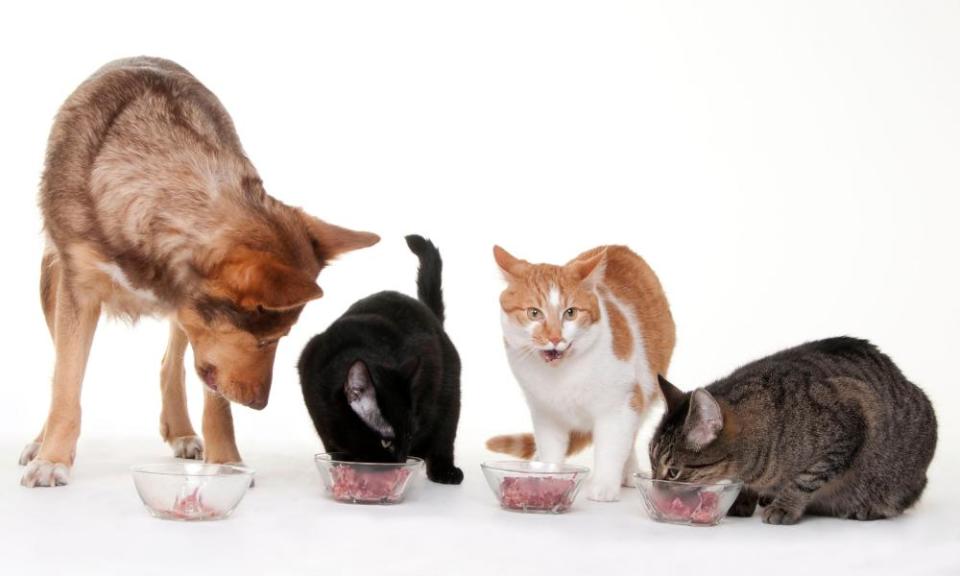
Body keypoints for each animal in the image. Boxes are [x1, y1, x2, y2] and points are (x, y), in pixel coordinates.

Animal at [18, 56, 378, 486]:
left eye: (281, 337)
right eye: (267, 340)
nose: (259, 404)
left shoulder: (209, 336)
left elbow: (216, 400)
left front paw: (225, 462)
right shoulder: (79, 291)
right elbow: (66, 382)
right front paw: (53, 457)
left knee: (170, 364)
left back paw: (181, 430)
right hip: (50, 280)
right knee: (62, 367)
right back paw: (40, 441)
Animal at [300, 236, 464, 484]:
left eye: (409, 434)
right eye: (386, 442)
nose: (401, 461)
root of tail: (431, 315)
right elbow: (331, 443)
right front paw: (343, 465)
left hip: (448, 393)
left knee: (444, 435)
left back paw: (445, 470)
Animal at [488, 245, 676, 502]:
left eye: (570, 313)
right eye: (534, 313)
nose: (555, 338)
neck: (563, 376)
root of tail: (620, 247)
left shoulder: (620, 405)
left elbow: (612, 447)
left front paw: (604, 486)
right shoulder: (545, 413)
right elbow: (550, 449)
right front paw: (546, 479)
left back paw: (628, 472)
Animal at [652, 336, 936, 524]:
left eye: (673, 472)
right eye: (651, 463)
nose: (656, 489)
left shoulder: (851, 419)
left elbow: (805, 479)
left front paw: (785, 505)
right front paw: (743, 499)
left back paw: (870, 508)